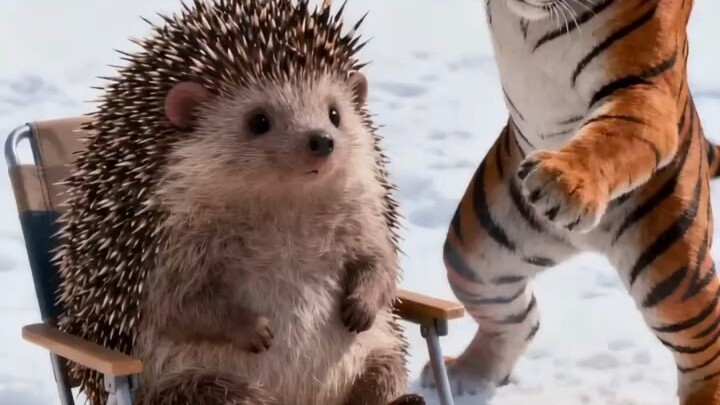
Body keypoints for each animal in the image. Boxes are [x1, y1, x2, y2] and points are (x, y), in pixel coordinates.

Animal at [419, 0, 720, 404]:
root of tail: (589, 241)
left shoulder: (641, 85)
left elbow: (613, 134)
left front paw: (564, 181)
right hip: (477, 254)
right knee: (519, 319)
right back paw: (468, 372)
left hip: (671, 275)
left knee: (704, 344)